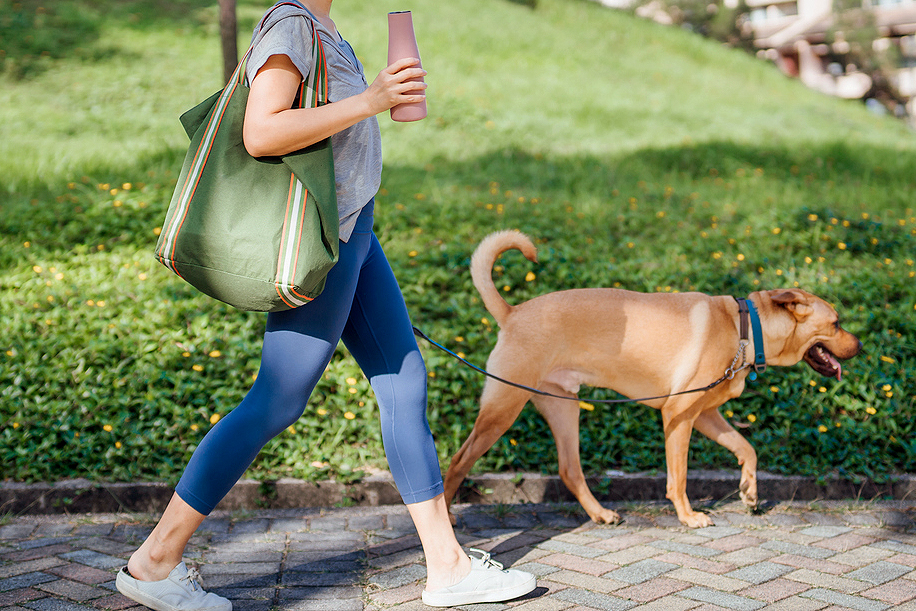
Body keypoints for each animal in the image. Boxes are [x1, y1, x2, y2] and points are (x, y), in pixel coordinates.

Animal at [444, 232, 860, 528]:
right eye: (837, 323)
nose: (859, 345)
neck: (743, 329)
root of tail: (512, 312)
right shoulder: (678, 416)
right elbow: (679, 477)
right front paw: (688, 516)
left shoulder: (704, 416)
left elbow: (747, 449)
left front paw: (750, 492)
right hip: (501, 412)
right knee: (458, 461)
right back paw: (446, 517)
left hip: (564, 409)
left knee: (569, 469)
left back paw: (600, 513)